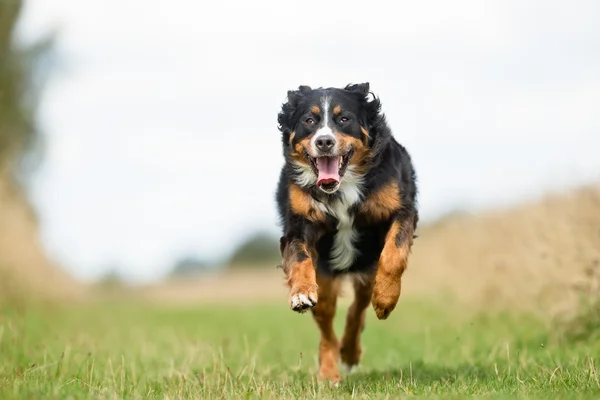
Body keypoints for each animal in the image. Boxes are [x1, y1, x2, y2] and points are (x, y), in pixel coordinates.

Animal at [276, 83, 418, 382]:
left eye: (344, 119)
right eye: (309, 120)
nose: (324, 142)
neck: (341, 187)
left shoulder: (402, 210)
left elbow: (395, 253)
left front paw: (386, 299)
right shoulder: (299, 224)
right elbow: (299, 258)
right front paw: (300, 293)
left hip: (366, 271)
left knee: (358, 309)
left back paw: (351, 352)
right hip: (326, 280)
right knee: (327, 327)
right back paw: (330, 373)